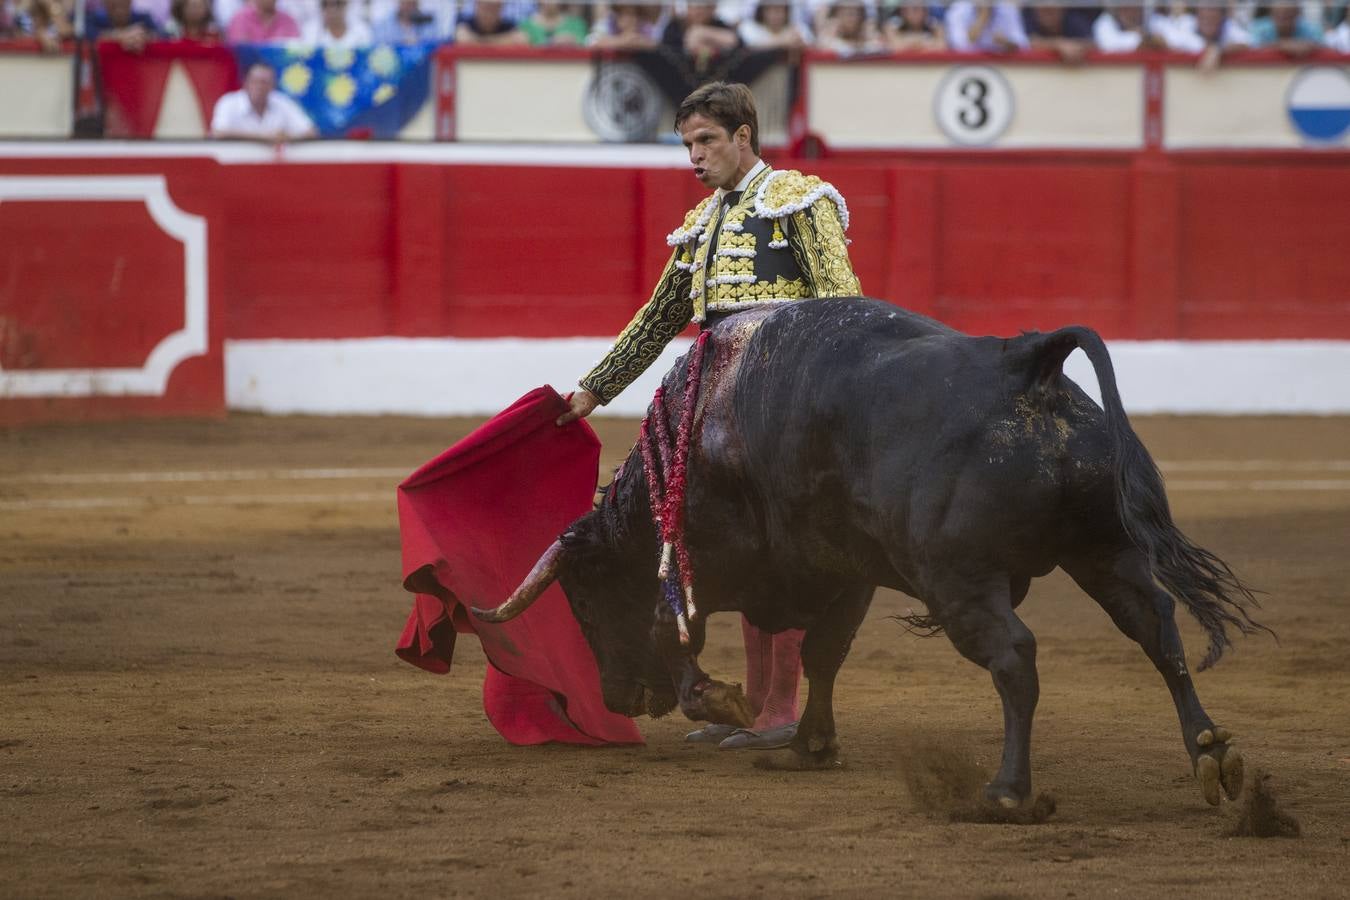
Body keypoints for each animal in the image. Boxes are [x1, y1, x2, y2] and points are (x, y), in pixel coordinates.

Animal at [475, 300, 1263, 809]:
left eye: (585, 597)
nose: (616, 698)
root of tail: (1027, 365)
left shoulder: (716, 559)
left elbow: (678, 634)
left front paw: (726, 702)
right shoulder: (844, 572)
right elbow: (823, 653)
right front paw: (810, 746)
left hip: (960, 581)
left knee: (1014, 656)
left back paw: (1007, 793)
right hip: (1102, 550)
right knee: (1155, 624)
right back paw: (1212, 756)